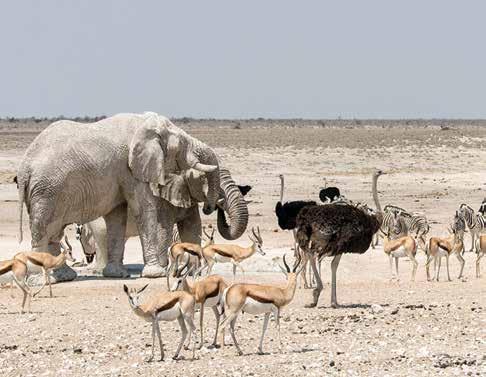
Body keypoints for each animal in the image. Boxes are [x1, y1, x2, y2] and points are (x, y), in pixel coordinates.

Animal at [16, 110, 226, 280]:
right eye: (182, 144)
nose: (209, 208)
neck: (143, 124)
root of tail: (24, 168)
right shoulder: (130, 168)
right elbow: (144, 210)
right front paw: (155, 274)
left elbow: (117, 217)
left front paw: (116, 274)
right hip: (45, 191)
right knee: (43, 229)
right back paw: (39, 280)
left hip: (50, 191)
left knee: (54, 231)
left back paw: (64, 276)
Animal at [75, 167, 251, 276]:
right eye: (206, 180)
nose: (213, 207)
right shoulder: (160, 199)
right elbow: (163, 230)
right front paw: (163, 270)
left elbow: (193, 229)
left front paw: (194, 272)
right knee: (103, 235)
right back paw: (100, 271)